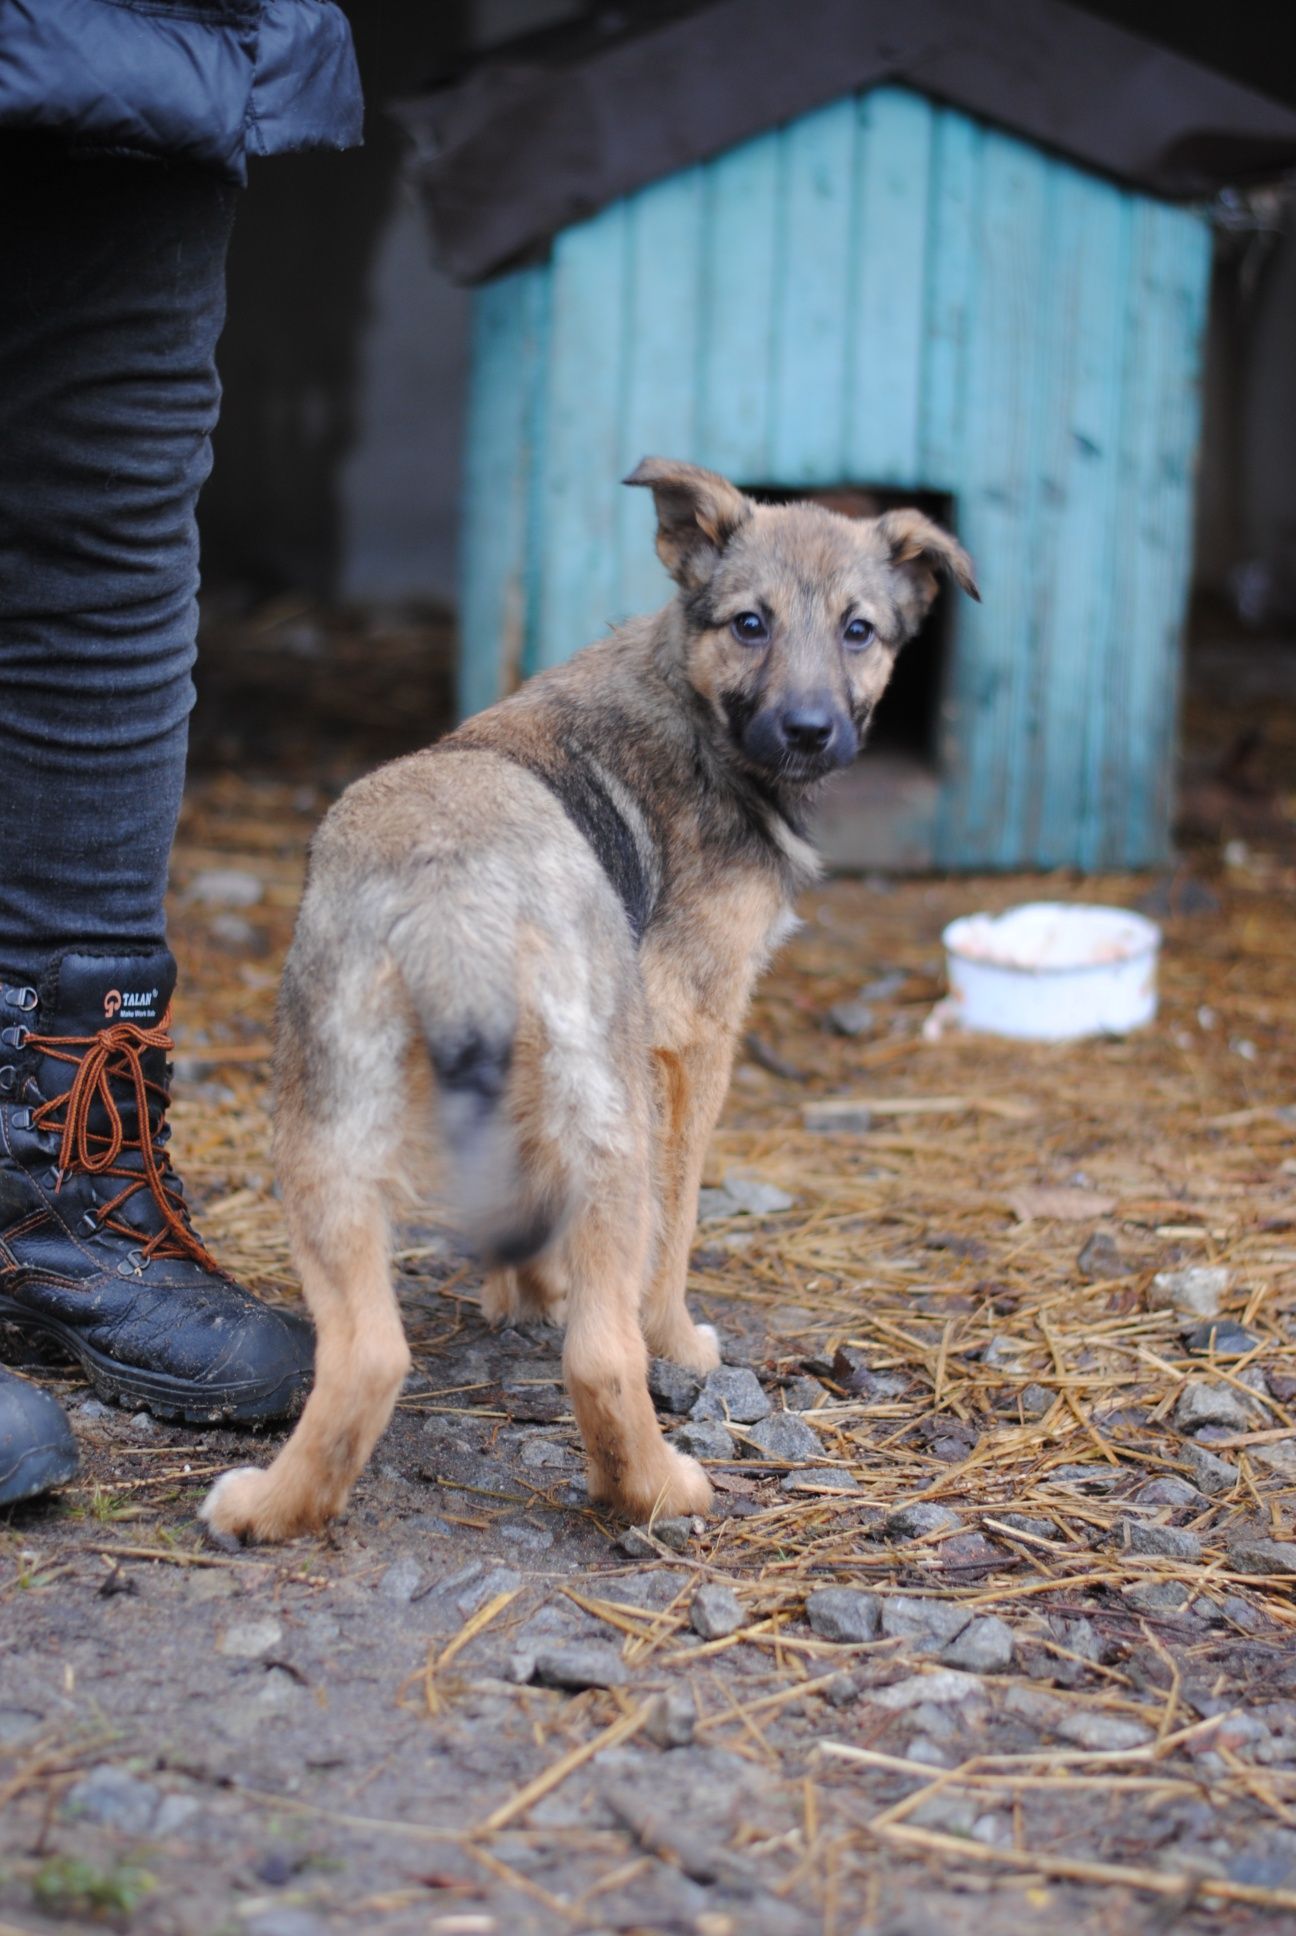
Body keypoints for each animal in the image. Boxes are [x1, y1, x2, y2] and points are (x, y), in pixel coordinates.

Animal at [199, 453, 968, 1541]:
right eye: (751, 623)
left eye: (858, 630)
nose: (810, 732)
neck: (689, 695)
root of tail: (453, 884)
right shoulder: (693, 1039)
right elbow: (676, 1229)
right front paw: (678, 1341)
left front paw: (524, 1290)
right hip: (609, 1111)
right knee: (604, 1354)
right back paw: (656, 1489)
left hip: (329, 1121)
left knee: (368, 1352)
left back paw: (273, 1506)